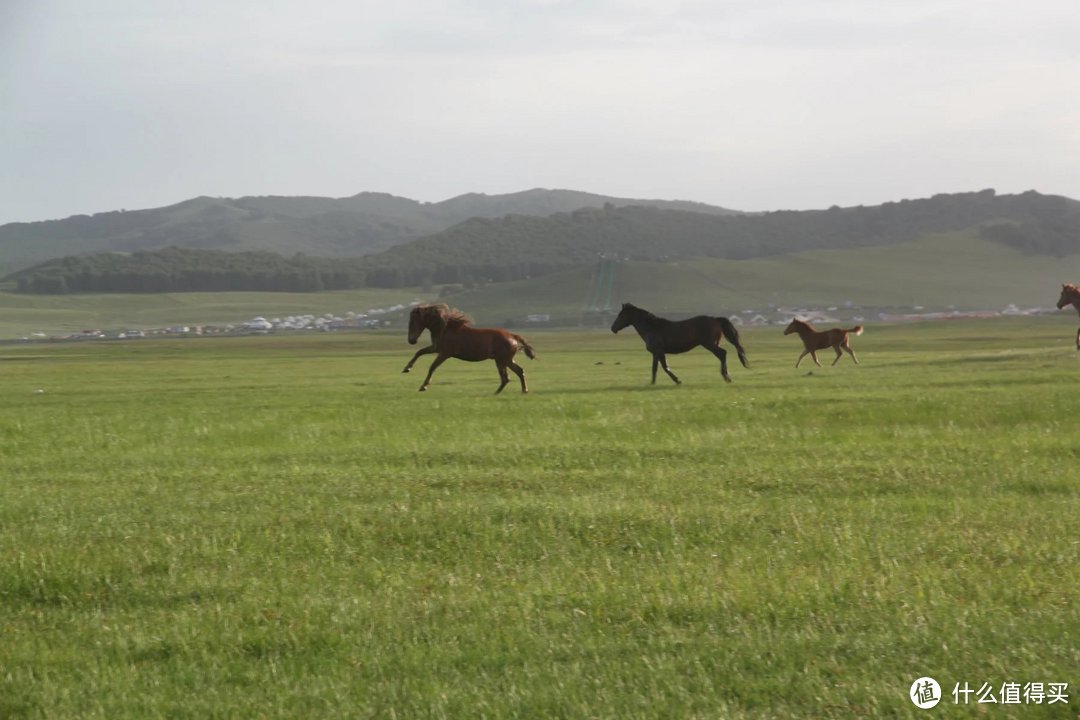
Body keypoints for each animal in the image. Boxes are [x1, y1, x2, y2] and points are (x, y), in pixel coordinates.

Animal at [406, 304, 535, 395]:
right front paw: (407, 369)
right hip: (506, 360)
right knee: (519, 372)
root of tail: (513, 336)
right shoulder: (436, 348)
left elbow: (432, 367)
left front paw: (423, 386)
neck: (445, 329)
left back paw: (496, 393)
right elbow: (419, 352)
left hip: (501, 361)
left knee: (506, 378)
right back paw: (523, 391)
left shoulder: (444, 353)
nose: (411, 340)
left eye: (413, 321)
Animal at [609, 302, 751, 386]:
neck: (653, 328)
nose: (612, 328)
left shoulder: (659, 351)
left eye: (621, 315)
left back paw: (726, 377)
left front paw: (677, 380)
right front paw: (653, 382)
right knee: (723, 354)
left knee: (722, 354)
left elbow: (664, 367)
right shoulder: (656, 353)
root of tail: (716, 319)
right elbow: (655, 368)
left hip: (709, 344)